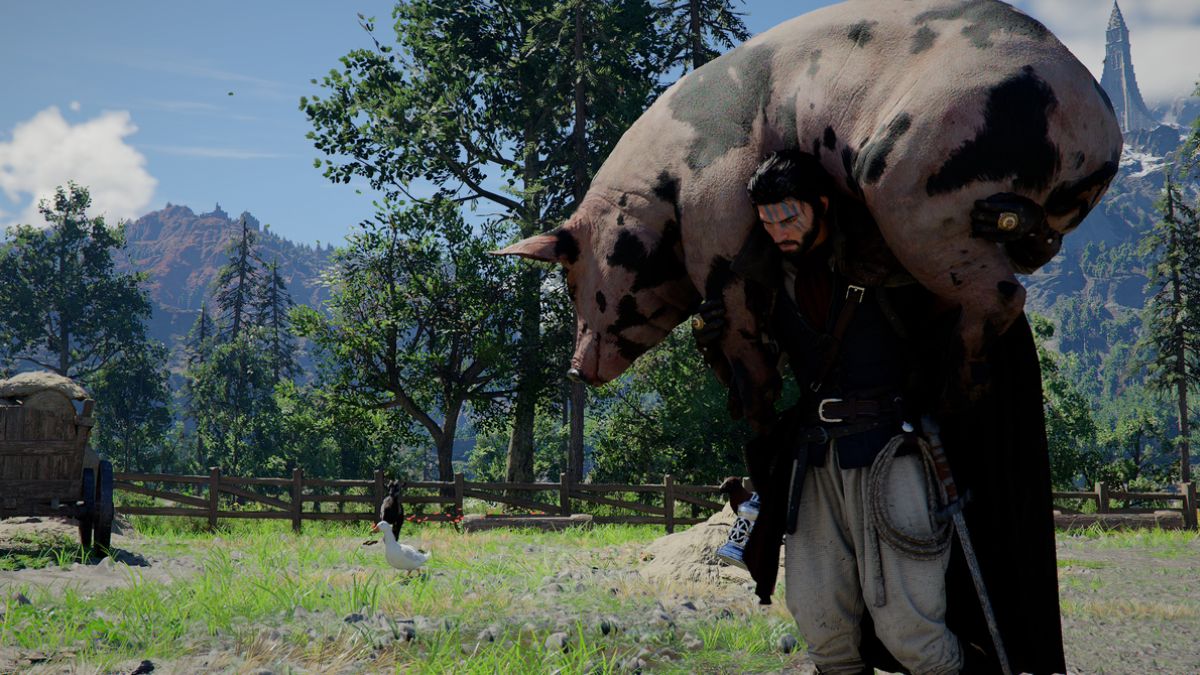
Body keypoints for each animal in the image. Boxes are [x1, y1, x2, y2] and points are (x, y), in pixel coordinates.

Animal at [497, 0, 1122, 425]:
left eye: (571, 276)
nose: (575, 368)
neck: (663, 187)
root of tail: (1098, 127)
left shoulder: (718, 214)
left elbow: (742, 318)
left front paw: (758, 404)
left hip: (912, 176)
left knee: (1001, 295)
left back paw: (952, 390)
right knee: (1021, 262)